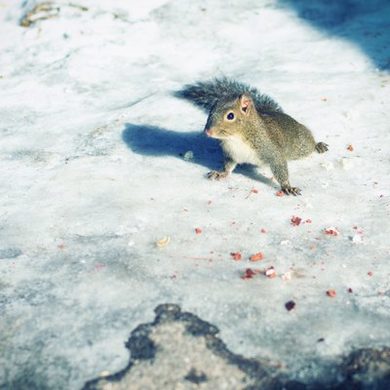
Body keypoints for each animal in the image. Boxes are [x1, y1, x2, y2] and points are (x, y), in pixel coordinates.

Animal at [177, 77, 330, 195]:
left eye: (230, 116)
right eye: (211, 111)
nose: (208, 131)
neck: (236, 138)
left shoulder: (271, 150)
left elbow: (280, 166)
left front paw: (287, 187)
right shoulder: (232, 154)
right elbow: (228, 166)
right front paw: (221, 173)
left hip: (299, 145)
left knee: (308, 145)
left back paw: (318, 145)